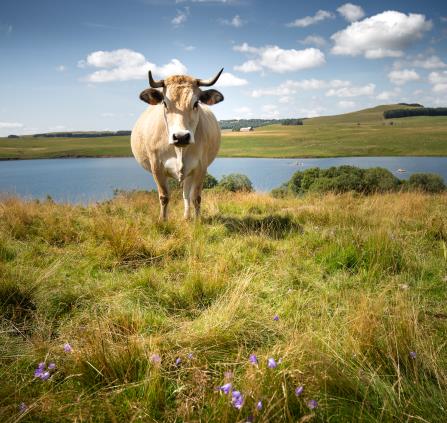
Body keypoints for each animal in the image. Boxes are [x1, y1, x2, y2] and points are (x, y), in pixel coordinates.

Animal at [132, 68, 224, 222]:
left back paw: (187, 217)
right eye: (164, 103)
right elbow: (164, 197)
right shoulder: (156, 167)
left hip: (189, 173)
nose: (181, 137)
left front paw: (198, 222)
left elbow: (196, 197)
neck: (179, 150)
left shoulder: (200, 167)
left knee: (186, 194)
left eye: (196, 103)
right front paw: (162, 221)